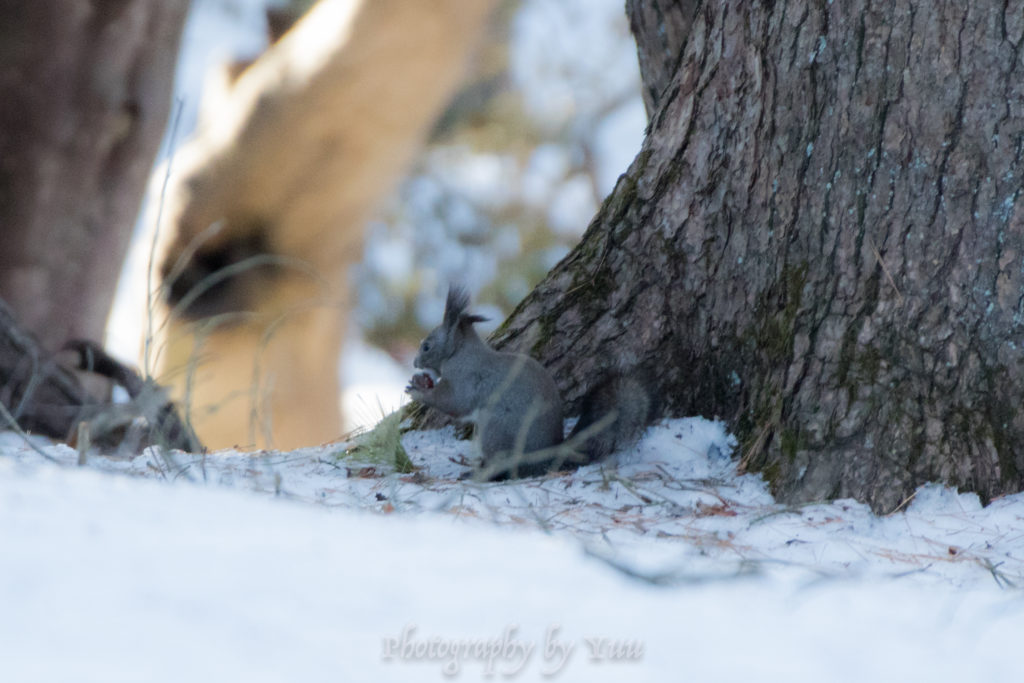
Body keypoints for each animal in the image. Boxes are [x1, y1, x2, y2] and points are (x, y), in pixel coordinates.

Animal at [403, 286, 651, 483]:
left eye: (426, 346)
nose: (414, 362)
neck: (461, 352)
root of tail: (542, 460)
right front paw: (420, 381)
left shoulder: (466, 377)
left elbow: (454, 402)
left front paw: (418, 391)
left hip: (495, 430)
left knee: (499, 466)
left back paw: (476, 474)